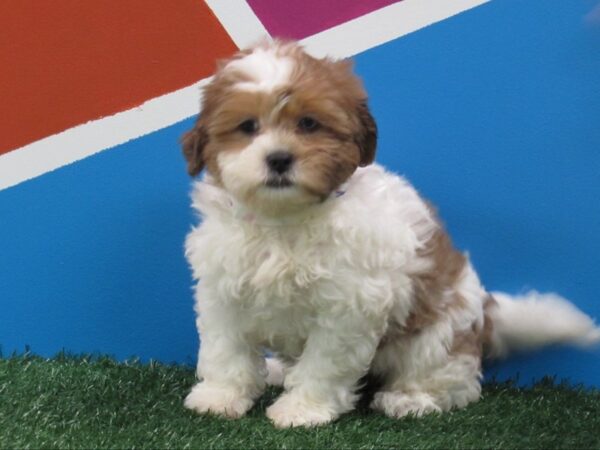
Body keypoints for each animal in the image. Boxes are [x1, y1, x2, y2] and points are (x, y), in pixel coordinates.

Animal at [182, 40, 600, 428]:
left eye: (309, 124)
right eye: (248, 126)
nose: (280, 158)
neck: (283, 220)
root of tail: (484, 311)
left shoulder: (348, 307)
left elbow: (324, 363)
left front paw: (304, 409)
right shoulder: (222, 289)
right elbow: (224, 350)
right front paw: (220, 396)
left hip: (437, 337)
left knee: (454, 382)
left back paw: (409, 399)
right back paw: (278, 370)